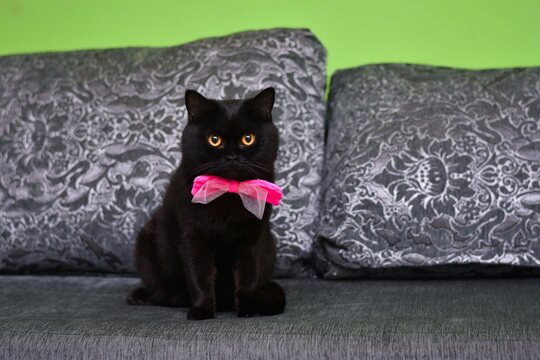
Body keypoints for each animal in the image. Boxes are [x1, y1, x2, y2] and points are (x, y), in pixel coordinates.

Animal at [127, 88, 286, 320]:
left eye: (248, 138)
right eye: (214, 139)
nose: (232, 156)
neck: (228, 192)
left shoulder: (253, 237)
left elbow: (248, 275)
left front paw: (248, 306)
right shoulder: (192, 236)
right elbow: (200, 276)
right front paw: (202, 309)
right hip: (147, 245)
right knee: (166, 290)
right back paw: (139, 296)